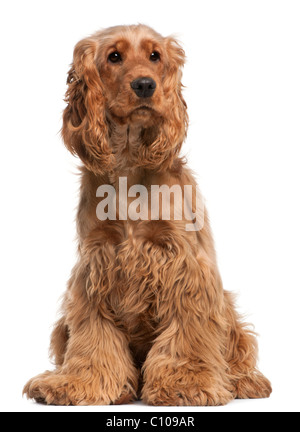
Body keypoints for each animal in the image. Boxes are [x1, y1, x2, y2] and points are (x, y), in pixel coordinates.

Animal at [23, 25, 272, 406]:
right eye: (114, 56)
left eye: (155, 56)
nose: (145, 85)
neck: (129, 165)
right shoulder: (95, 265)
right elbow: (92, 337)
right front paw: (78, 383)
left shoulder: (185, 265)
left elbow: (188, 332)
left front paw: (186, 383)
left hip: (227, 308)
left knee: (239, 347)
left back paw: (245, 381)